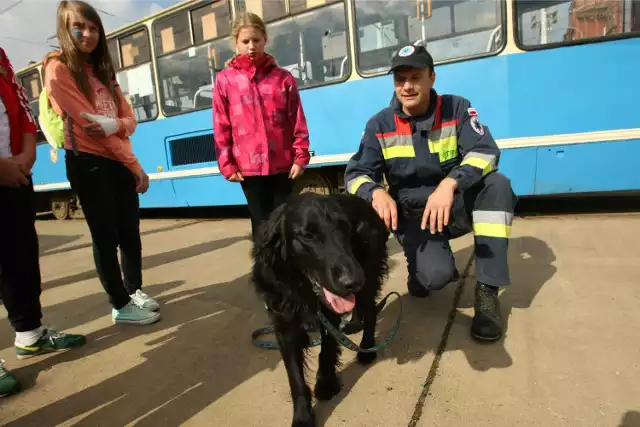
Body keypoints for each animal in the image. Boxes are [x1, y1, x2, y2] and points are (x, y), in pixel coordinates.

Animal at [251, 192, 390, 426]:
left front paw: (326, 383)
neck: (301, 285)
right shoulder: (284, 324)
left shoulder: (329, 312)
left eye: (346, 228)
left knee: (370, 309)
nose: (354, 281)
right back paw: (354, 323)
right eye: (308, 236)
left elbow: (327, 350)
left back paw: (366, 348)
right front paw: (302, 416)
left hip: (368, 273)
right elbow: (295, 376)